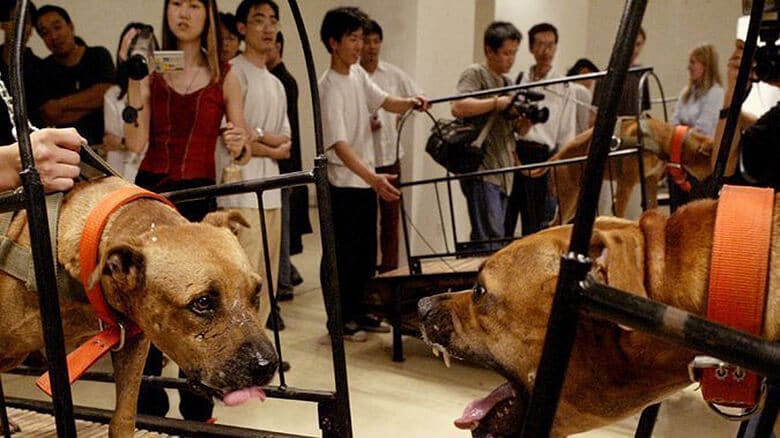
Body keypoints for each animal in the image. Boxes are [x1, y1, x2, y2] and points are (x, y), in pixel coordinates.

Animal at [544, 117, 712, 222]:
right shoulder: (626, 183)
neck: (665, 139)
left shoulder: (650, 181)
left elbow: (652, 208)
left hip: (574, 201)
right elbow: (619, 213)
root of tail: (556, 157)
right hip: (568, 198)